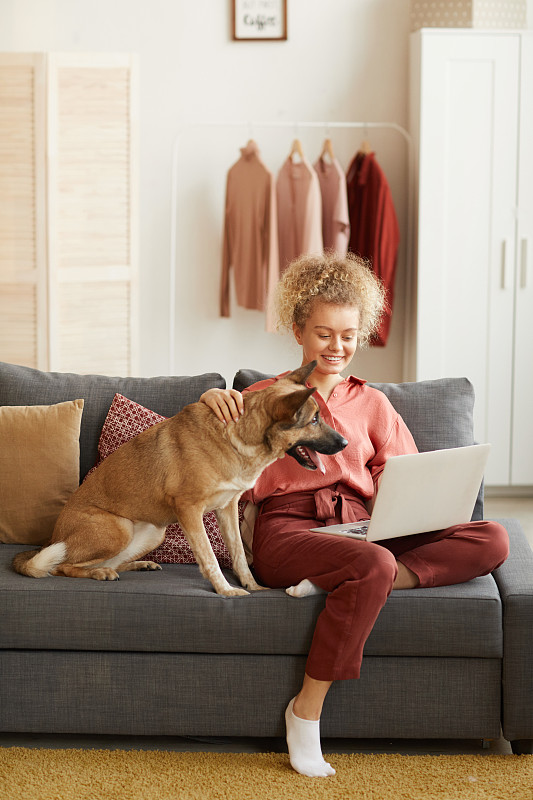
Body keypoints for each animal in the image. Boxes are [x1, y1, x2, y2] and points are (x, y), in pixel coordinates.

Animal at [12, 360, 348, 592]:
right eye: (314, 420)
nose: (345, 443)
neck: (239, 435)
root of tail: (53, 538)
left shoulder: (226, 510)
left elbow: (239, 555)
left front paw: (252, 587)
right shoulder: (189, 510)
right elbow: (209, 558)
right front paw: (227, 592)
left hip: (152, 532)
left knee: (97, 561)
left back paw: (136, 565)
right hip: (117, 529)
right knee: (62, 566)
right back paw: (98, 572)